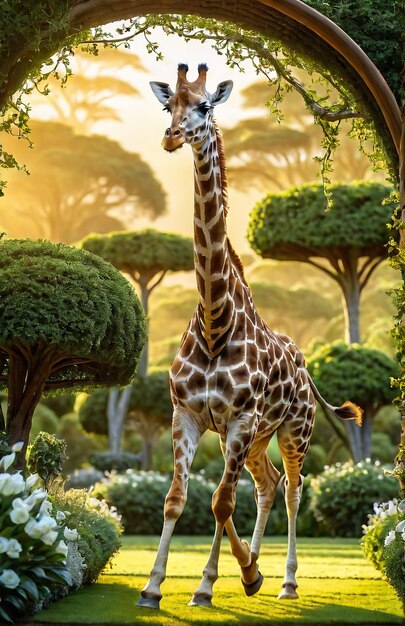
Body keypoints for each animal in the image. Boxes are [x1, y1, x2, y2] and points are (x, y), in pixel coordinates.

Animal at [137, 64, 362, 608]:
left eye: (204, 106)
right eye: (168, 104)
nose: (171, 136)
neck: (215, 323)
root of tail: (305, 364)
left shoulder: (238, 419)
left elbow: (220, 502)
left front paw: (209, 583)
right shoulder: (188, 414)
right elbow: (177, 499)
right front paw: (156, 587)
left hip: (293, 429)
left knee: (293, 488)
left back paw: (285, 580)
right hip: (256, 437)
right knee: (267, 484)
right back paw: (255, 567)